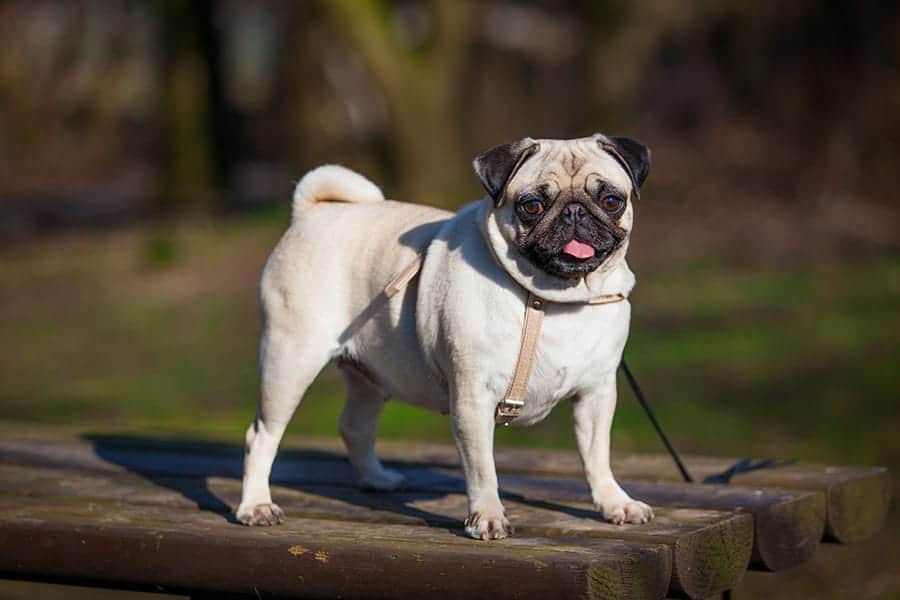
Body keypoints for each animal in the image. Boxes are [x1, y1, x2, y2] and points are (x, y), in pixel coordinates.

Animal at [236, 132, 652, 540]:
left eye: (611, 200)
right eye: (532, 205)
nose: (574, 211)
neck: (555, 299)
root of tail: (313, 213)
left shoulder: (596, 394)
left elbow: (597, 456)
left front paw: (614, 502)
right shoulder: (473, 398)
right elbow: (483, 468)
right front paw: (487, 517)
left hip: (372, 372)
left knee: (355, 425)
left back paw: (377, 479)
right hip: (290, 361)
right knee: (262, 435)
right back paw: (255, 506)